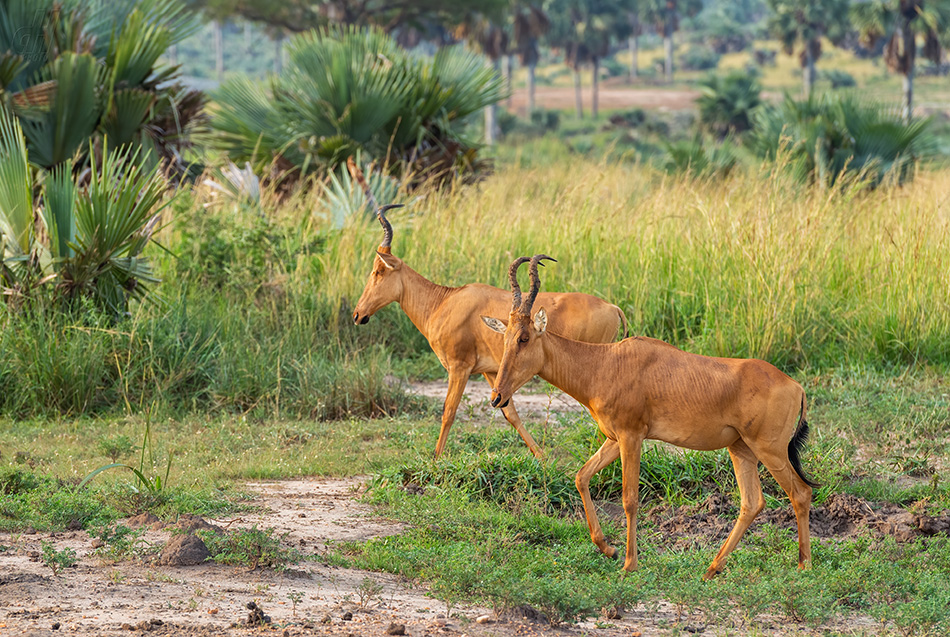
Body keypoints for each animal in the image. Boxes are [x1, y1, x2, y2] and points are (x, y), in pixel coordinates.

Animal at [346, 161, 628, 458]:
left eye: (377, 271)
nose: (358, 314)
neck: (446, 301)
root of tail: (613, 307)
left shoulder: (459, 368)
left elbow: (448, 411)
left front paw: (435, 460)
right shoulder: (492, 371)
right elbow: (509, 412)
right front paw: (541, 457)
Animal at [484, 253, 820, 576]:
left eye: (524, 337)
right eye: (505, 336)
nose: (497, 397)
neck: (605, 363)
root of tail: (795, 386)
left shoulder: (632, 437)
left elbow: (630, 498)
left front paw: (629, 563)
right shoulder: (614, 438)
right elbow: (582, 477)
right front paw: (608, 549)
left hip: (770, 450)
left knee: (800, 493)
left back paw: (803, 564)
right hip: (740, 449)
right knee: (752, 503)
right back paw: (712, 569)